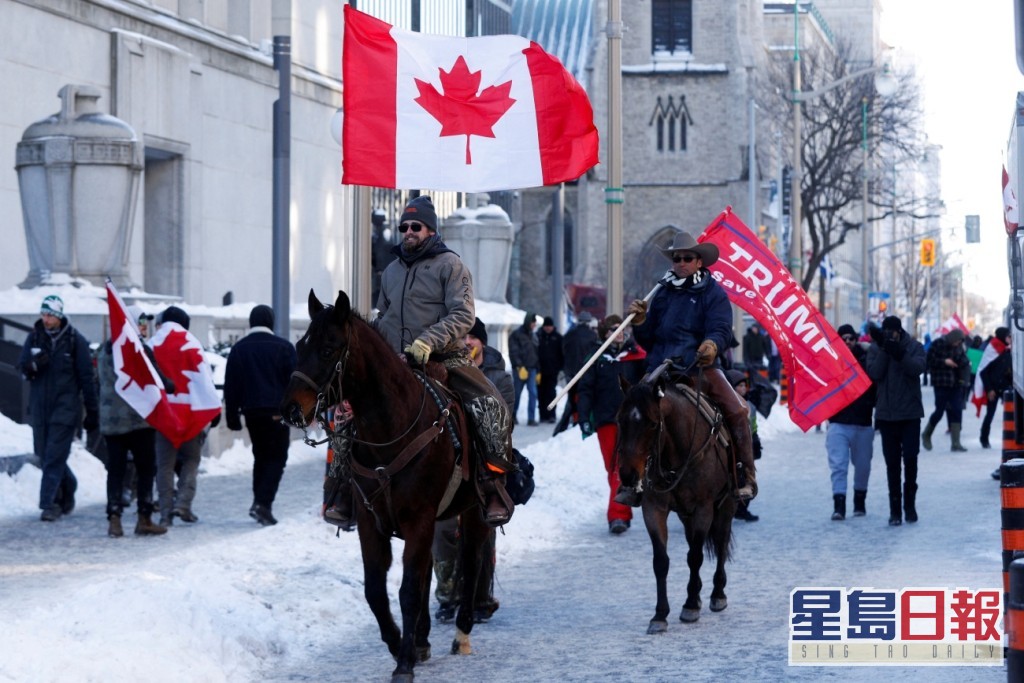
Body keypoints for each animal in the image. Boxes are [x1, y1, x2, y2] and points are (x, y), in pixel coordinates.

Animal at [278, 290, 489, 683]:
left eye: (328, 349)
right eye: (300, 346)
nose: (290, 409)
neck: (391, 430)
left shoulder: (419, 518)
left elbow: (408, 591)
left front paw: (404, 662)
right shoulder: (370, 521)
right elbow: (376, 591)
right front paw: (397, 644)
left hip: (473, 510)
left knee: (470, 560)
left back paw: (462, 631)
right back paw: (421, 637)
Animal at [614, 374, 737, 634]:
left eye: (652, 424)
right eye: (619, 420)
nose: (628, 475)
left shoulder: (703, 508)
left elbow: (696, 557)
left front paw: (690, 606)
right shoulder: (654, 510)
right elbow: (661, 562)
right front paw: (660, 615)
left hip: (726, 504)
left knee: (721, 543)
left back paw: (717, 593)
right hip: (685, 514)